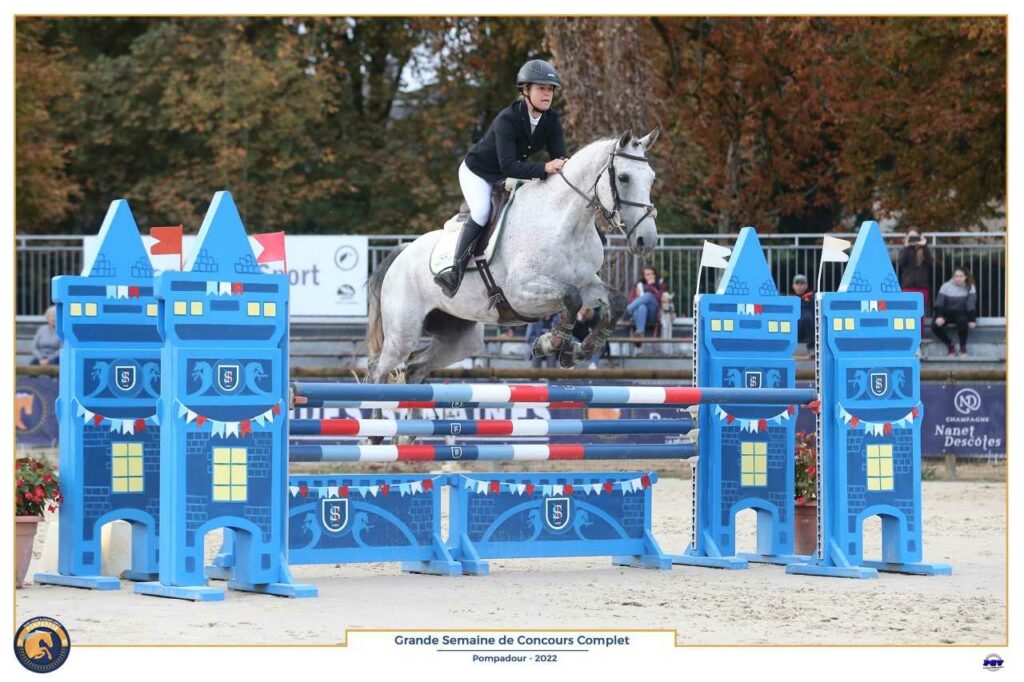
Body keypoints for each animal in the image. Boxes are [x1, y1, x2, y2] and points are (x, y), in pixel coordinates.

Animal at [364, 126, 659, 382]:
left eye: (651, 178)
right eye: (623, 178)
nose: (647, 241)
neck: (566, 224)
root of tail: (402, 252)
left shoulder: (587, 285)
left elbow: (615, 301)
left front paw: (577, 351)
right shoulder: (521, 291)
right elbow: (571, 298)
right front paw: (548, 344)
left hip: (459, 337)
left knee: (416, 368)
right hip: (402, 333)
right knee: (377, 369)